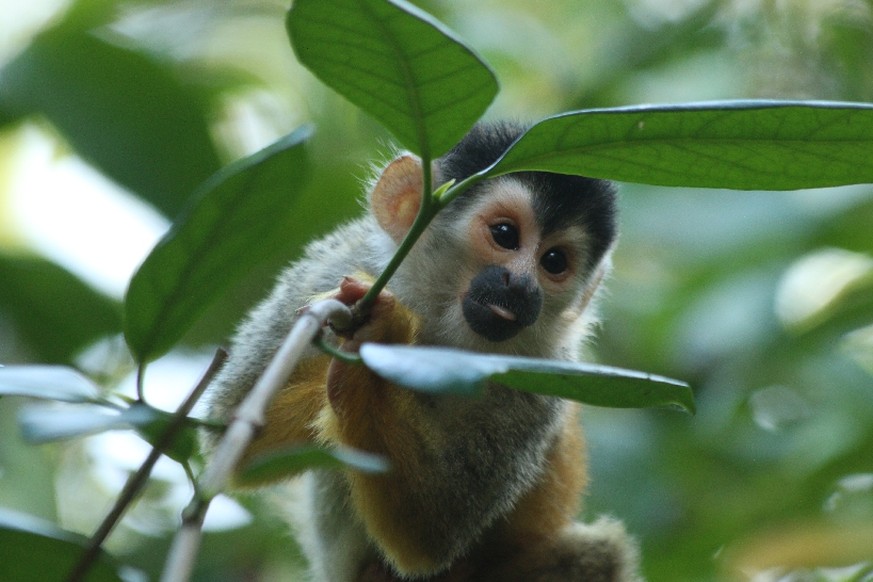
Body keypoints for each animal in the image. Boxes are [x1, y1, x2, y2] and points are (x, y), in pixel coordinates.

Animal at [203, 121, 640, 580]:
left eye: (554, 261)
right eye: (505, 235)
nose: (521, 286)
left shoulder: (545, 374)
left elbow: (431, 533)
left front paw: (383, 336)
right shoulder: (333, 269)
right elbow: (235, 434)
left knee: (601, 552)